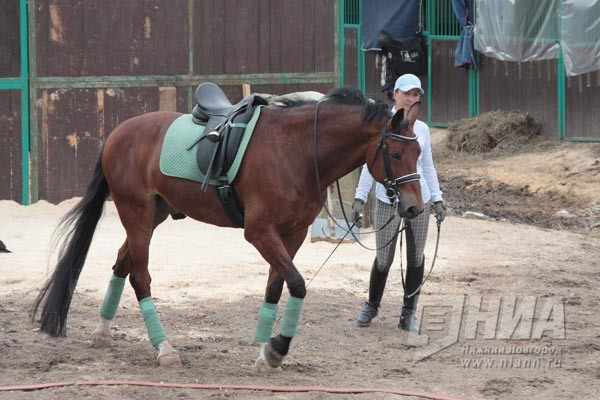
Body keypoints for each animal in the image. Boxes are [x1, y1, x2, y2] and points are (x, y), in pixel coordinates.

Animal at [31, 86, 422, 370]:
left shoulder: (292, 234)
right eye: (397, 155)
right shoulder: (260, 232)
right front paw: (277, 348)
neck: (297, 150)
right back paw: (164, 348)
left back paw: (102, 332)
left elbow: (276, 287)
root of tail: (118, 132)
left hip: (151, 216)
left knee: (120, 264)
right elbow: (296, 284)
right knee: (139, 277)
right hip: (136, 213)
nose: (415, 207)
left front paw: (264, 352)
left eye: (419, 154)